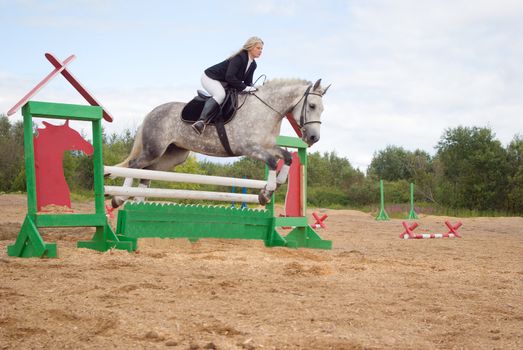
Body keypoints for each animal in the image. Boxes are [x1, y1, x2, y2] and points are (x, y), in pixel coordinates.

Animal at [110, 78, 332, 208]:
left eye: (322, 109)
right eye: (312, 106)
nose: (313, 138)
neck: (265, 110)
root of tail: (152, 112)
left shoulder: (267, 146)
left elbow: (287, 157)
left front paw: (276, 183)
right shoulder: (250, 148)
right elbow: (271, 161)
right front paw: (266, 193)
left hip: (173, 155)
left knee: (147, 173)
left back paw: (137, 202)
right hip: (154, 149)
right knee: (135, 166)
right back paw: (119, 198)